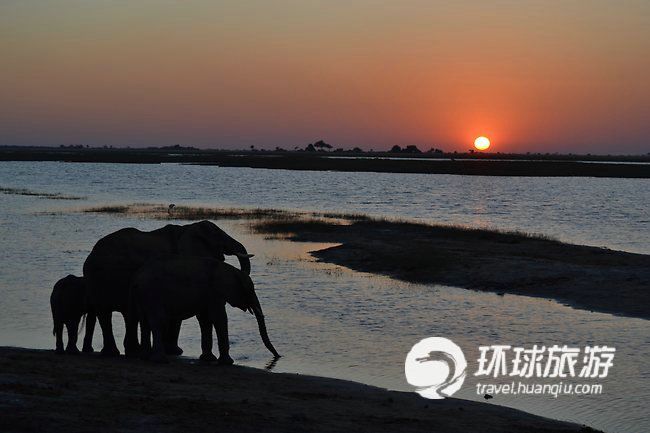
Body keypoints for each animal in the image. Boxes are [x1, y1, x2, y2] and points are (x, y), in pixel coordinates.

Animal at [81, 218, 253, 356]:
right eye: (218, 237)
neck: (187, 228)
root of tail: (91, 254)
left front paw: (173, 351)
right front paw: (175, 352)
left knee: (126, 314)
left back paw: (132, 351)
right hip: (99, 278)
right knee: (105, 313)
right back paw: (114, 353)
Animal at [130, 256, 280, 362]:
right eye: (250, 290)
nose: (278, 356)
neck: (231, 270)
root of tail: (136, 278)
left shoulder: (208, 296)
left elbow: (205, 320)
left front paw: (208, 359)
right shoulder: (215, 293)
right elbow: (219, 318)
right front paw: (227, 362)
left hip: (141, 296)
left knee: (144, 322)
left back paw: (145, 357)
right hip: (152, 294)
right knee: (157, 321)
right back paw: (160, 360)